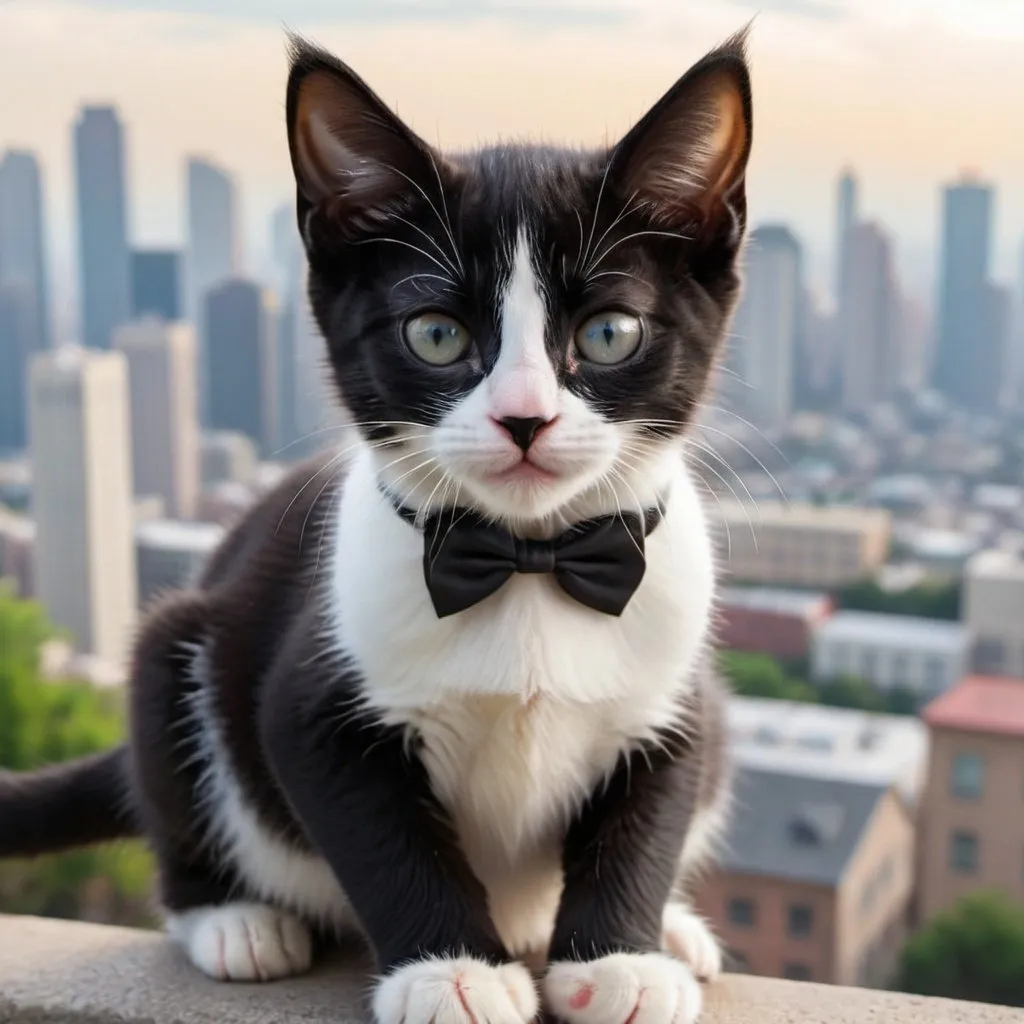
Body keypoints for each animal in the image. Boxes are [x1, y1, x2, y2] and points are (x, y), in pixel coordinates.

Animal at [0, 29, 753, 1024]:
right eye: (435, 334)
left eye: (609, 333)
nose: (523, 419)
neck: (530, 561)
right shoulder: (315, 708)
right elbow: (384, 839)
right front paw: (453, 970)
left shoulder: (675, 685)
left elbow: (651, 811)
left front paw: (620, 959)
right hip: (179, 648)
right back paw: (234, 918)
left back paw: (675, 930)